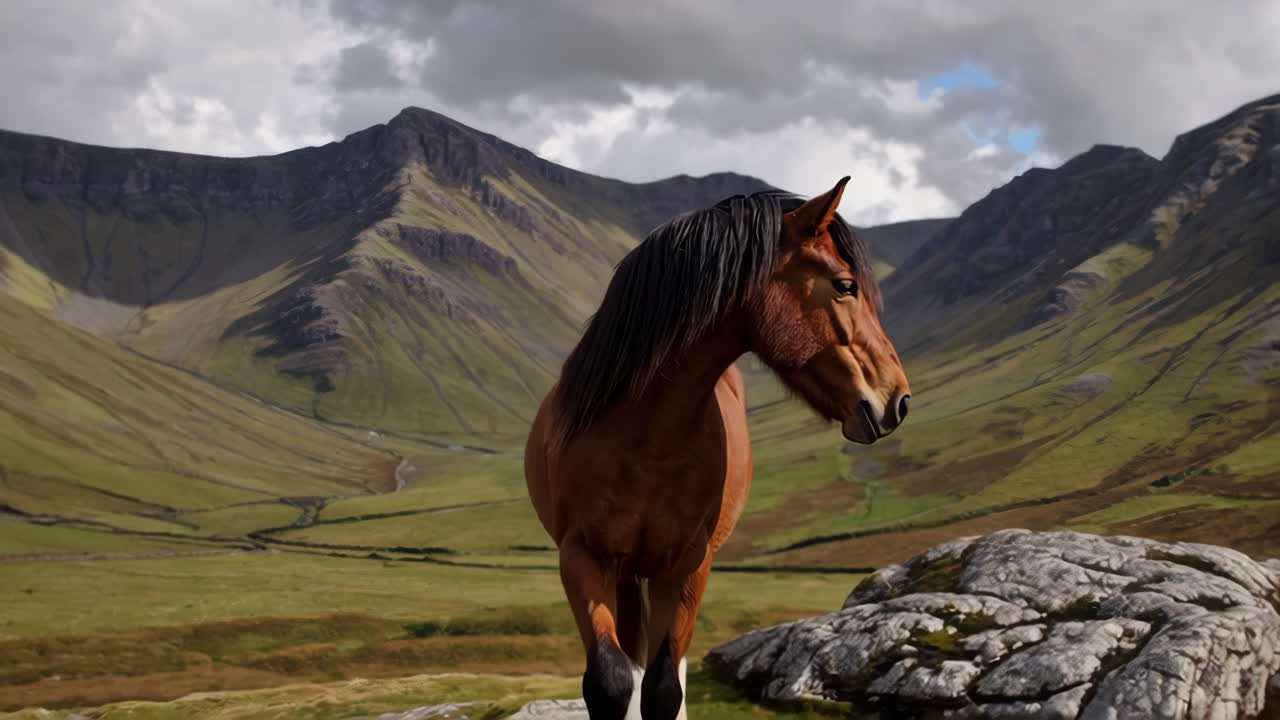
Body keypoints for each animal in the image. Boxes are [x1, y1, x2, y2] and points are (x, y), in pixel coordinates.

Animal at [524, 177, 911, 719]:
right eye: (844, 285)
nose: (898, 399)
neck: (648, 439)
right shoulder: (583, 556)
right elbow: (610, 680)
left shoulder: (690, 563)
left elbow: (664, 687)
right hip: (624, 572)